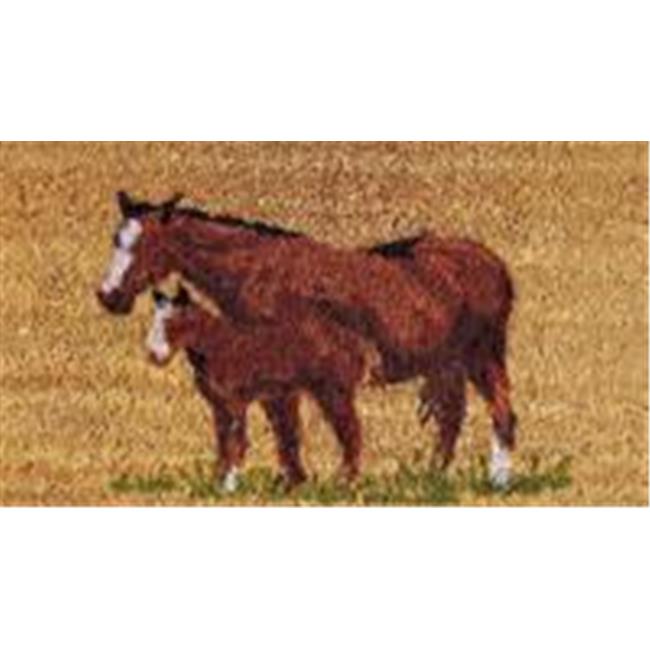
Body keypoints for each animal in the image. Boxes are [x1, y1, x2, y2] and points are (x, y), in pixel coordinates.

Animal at [146, 286, 366, 492]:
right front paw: (218, 482)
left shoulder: (234, 402)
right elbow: (222, 443)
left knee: (351, 432)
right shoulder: (218, 405)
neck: (216, 346)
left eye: (171, 321)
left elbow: (236, 442)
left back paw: (346, 482)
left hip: (333, 391)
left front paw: (229, 485)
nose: (154, 355)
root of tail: (351, 340)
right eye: (155, 321)